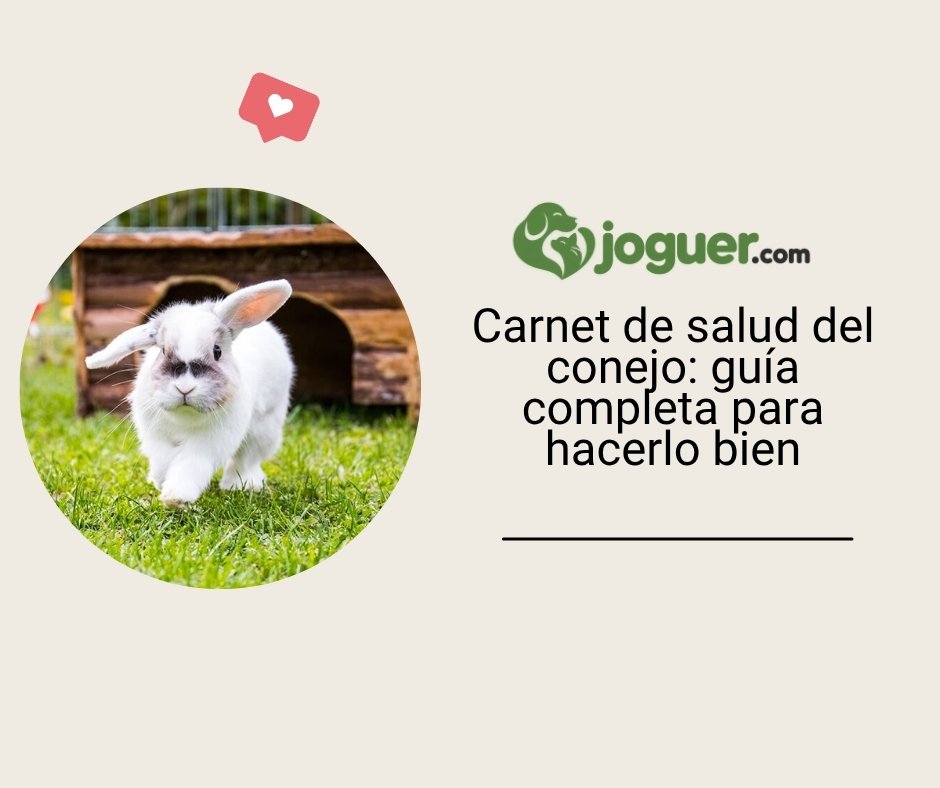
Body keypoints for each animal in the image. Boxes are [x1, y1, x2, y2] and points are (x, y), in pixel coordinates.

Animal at [85, 279, 295, 507]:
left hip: (264, 427)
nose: (185, 388)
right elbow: (164, 460)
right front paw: (161, 483)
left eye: (217, 351)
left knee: (246, 459)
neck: (185, 418)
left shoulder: (209, 443)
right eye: (163, 351)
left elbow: (190, 466)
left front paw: (175, 498)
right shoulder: (156, 438)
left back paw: (241, 485)